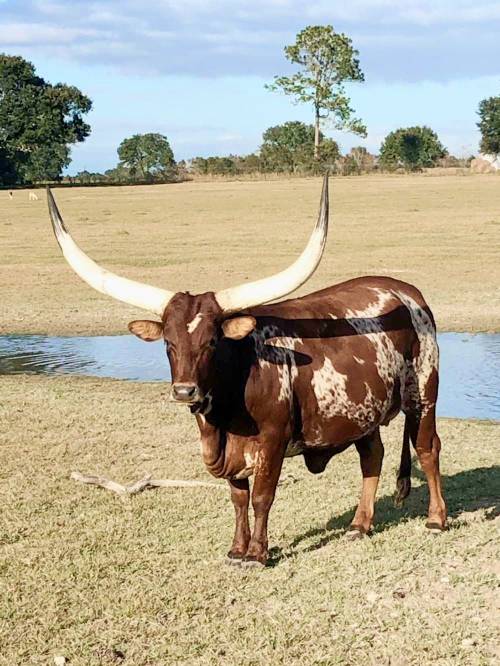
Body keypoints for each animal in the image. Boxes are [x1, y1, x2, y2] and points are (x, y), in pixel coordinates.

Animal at [46, 177, 446, 568]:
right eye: (168, 343)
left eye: (212, 341)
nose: (184, 391)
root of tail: (407, 292)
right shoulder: (230, 455)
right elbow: (238, 498)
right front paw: (236, 550)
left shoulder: (272, 439)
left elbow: (262, 496)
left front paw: (256, 554)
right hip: (362, 412)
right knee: (372, 455)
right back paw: (359, 525)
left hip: (423, 393)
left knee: (427, 448)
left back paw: (436, 519)